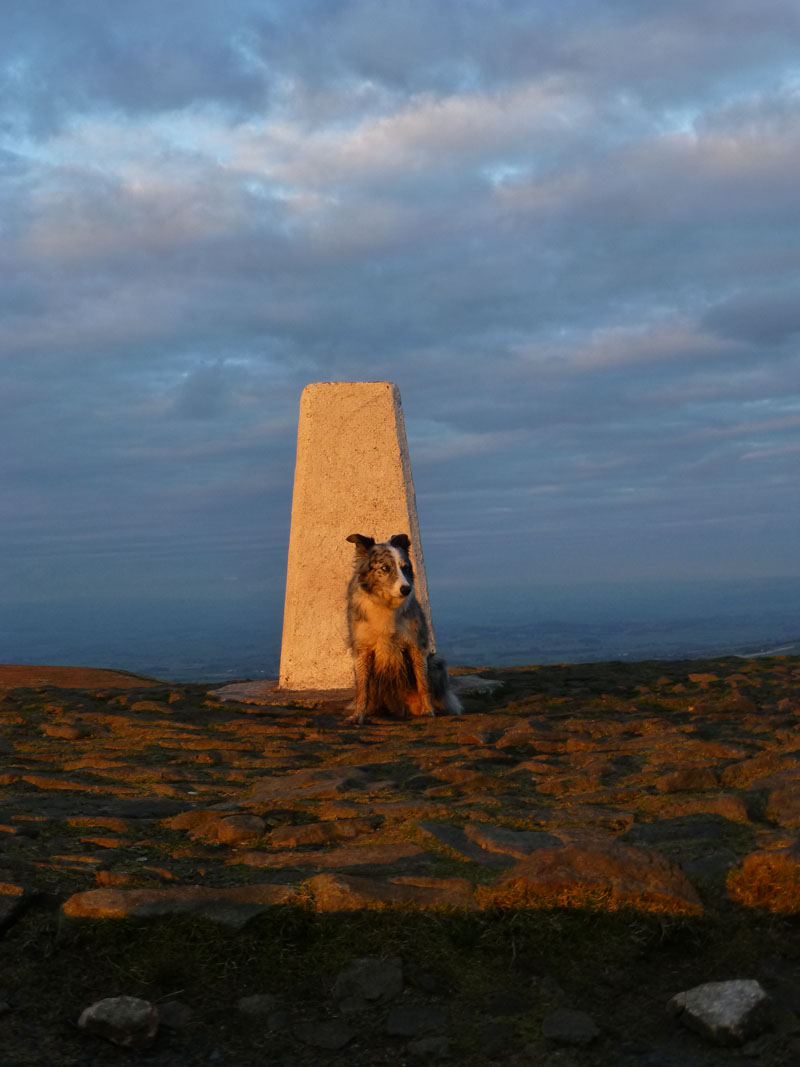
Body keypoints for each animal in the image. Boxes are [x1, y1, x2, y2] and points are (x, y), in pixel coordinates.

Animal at [345, 533, 462, 725]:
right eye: (385, 568)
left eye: (405, 567)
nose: (406, 589)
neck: (385, 604)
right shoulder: (362, 648)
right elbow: (363, 688)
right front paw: (358, 715)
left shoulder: (416, 645)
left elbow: (423, 683)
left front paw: (428, 711)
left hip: (436, 661)